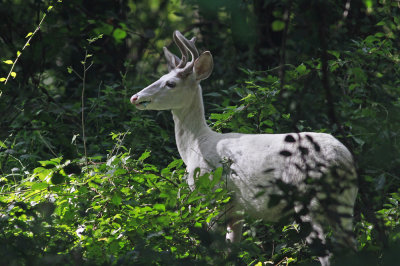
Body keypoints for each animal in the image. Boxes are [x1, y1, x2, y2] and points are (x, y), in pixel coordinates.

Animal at [130, 30, 358, 264]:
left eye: (171, 83)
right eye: (159, 78)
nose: (135, 97)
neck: (196, 145)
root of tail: (339, 159)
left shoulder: (211, 197)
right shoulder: (236, 210)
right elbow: (232, 251)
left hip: (307, 200)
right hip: (346, 201)